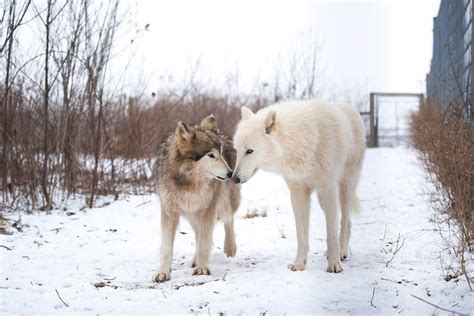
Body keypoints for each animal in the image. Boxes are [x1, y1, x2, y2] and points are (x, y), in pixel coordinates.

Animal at [154, 115, 241, 282]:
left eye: (221, 153)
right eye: (211, 155)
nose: (230, 174)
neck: (190, 183)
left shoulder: (208, 210)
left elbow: (204, 241)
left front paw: (202, 269)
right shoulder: (169, 212)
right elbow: (166, 247)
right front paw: (163, 273)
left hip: (222, 204)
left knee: (229, 220)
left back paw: (230, 247)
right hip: (191, 215)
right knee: (198, 234)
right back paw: (195, 260)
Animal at [231, 100, 364, 272]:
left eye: (249, 151)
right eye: (237, 150)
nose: (234, 178)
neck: (301, 139)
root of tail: (349, 107)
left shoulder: (328, 188)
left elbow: (331, 231)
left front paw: (334, 264)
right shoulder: (298, 193)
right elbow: (301, 234)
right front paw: (299, 263)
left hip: (343, 188)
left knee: (344, 221)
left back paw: (341, 252)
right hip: (322, 198)